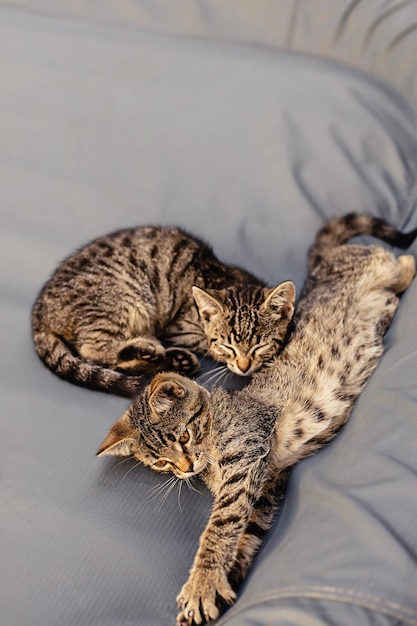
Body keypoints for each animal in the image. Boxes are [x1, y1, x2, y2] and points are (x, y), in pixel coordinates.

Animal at [31, 225, 296, 394]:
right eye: (227, 346)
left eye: (259, 345)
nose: (244, 366)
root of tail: (39, 311)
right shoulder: (180, 328)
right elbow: (207, 344)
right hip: (123, 296)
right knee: (92, 349)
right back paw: (149, 349)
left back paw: (174, 360)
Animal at [98, 212, 416, 620]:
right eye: (161, 463)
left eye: (183, 437)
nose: (185, 468)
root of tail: (319, 266)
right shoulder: (267, 480)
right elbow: (248, 529)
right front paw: (226, 581)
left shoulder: (249, 450)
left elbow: (221, 524)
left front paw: (202, 584)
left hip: (371, 264)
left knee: (391, 259)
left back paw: (407, 263)